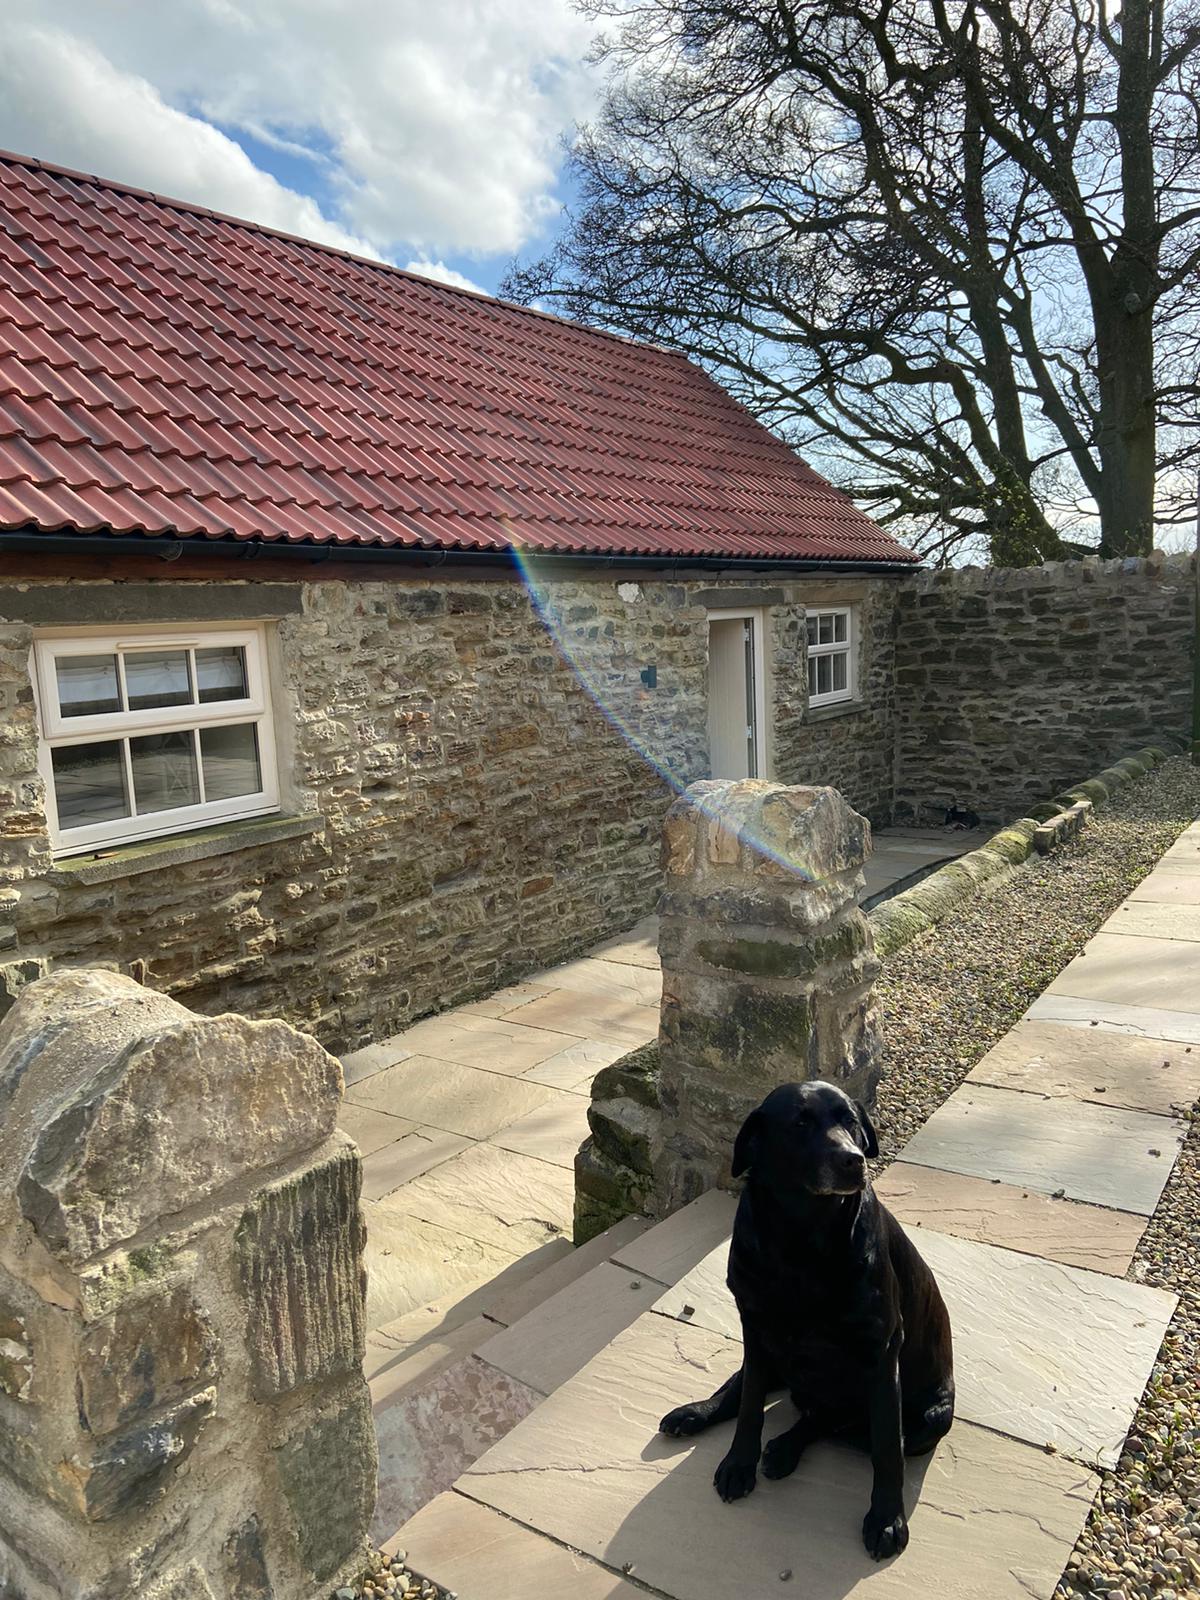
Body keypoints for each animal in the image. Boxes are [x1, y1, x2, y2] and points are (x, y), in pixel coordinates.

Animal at [662, 1081, 953, 1555]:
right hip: (773, 1358)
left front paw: (886, 1518)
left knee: (831, 1421)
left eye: (850, 1120)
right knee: (742, 1391)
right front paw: (738, 1463)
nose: (853, 1159)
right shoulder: (754, 1329)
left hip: (930, 1419)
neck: (801, 1240)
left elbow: (887, 1447)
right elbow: (749, 1408)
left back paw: (784, 1448)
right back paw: (696, 1414)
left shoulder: (880, 1353)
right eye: (800, 1123)